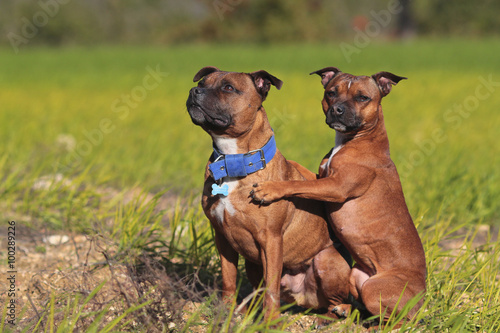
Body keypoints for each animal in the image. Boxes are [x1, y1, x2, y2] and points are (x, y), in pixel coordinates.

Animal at [185, 66, 352, 320]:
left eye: (228, 87)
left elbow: (271, 288)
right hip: (253, 265)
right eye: (202, 83)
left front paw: (269, 322)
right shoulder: (222, 238)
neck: (234, 160)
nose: (194, 91)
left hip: (327, 259)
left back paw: (333, 315)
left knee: (342, 301)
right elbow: (228, 279)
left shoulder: (270, 240)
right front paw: (226, 312)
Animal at [252, 67, 428, 322]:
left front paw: (269, 189)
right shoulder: (322, 177)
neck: (355, 140)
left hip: (375, 289)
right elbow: (301, 172)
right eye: (331, 93)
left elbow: (294, 183)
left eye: (362, 97)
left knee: (393, 320)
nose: (337, 109)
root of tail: (422, 298)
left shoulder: (336, 187)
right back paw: (344, 309)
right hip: (357, 275)